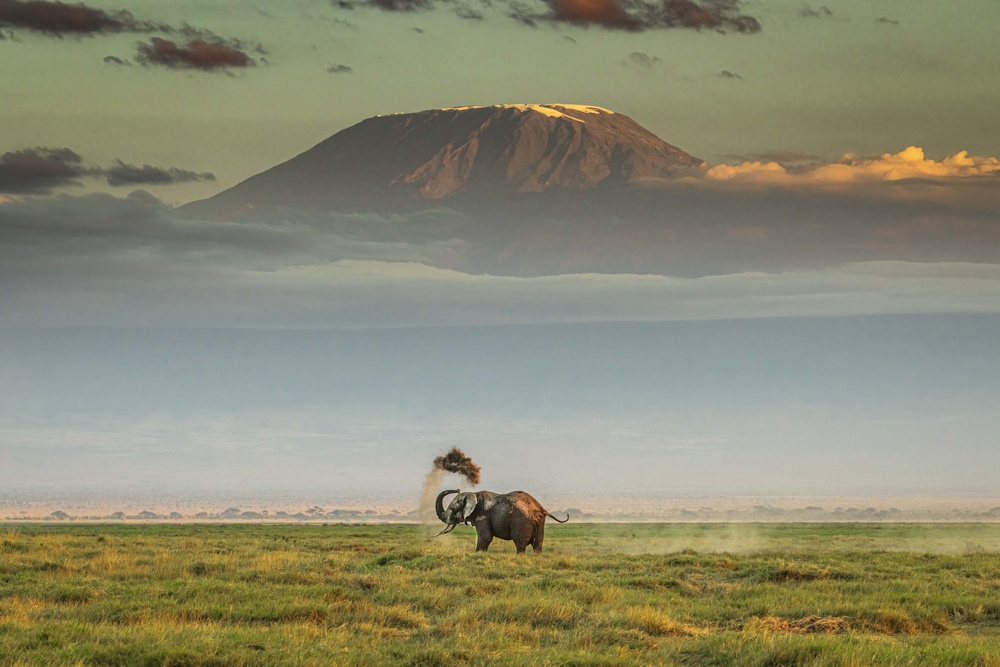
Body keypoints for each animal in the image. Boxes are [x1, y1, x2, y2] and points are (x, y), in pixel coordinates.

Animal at [434, 490, 568, 552]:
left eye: (452, 509)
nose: (457, 489)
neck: (473, 493)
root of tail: (540, 508)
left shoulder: (483, 515)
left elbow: (486, 537)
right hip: (540, 522)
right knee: (537, 545)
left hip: (521, 521)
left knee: (520, 544)